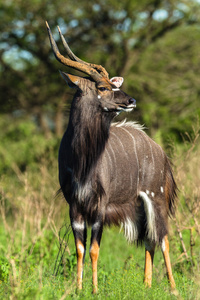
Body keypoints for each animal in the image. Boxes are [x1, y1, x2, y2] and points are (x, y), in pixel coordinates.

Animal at [46, 22, 177, 294]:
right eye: (103, 87)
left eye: (112, 84)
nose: (131, 100)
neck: (82, 161)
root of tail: (159, 149)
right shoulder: (74, 205)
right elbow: (80, 248)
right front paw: (79, 289)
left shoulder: (100, 205)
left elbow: (95, 250)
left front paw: (94, 289)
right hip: (138, 204)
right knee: (149, 240)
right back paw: (146, 285)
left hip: (156, 197)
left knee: (163, 238)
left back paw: (173, 288)